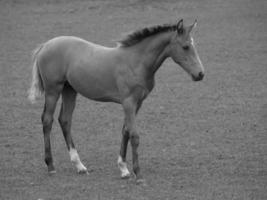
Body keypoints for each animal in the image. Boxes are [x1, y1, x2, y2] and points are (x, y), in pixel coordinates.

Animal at [28, 19, 205, 184]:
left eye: (194, 45)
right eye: (185, 47)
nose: (200, 74)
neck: (136, 61)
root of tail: (45, 45)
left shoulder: (137, 103)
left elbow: (125, 131)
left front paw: (124, 169)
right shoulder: (128, 102)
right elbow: (134, 135)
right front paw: (138, 174)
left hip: (69, 90)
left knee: (65, 120)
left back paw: (79, 166)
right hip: (53, 90)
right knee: (47, 120)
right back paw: (51, 166)